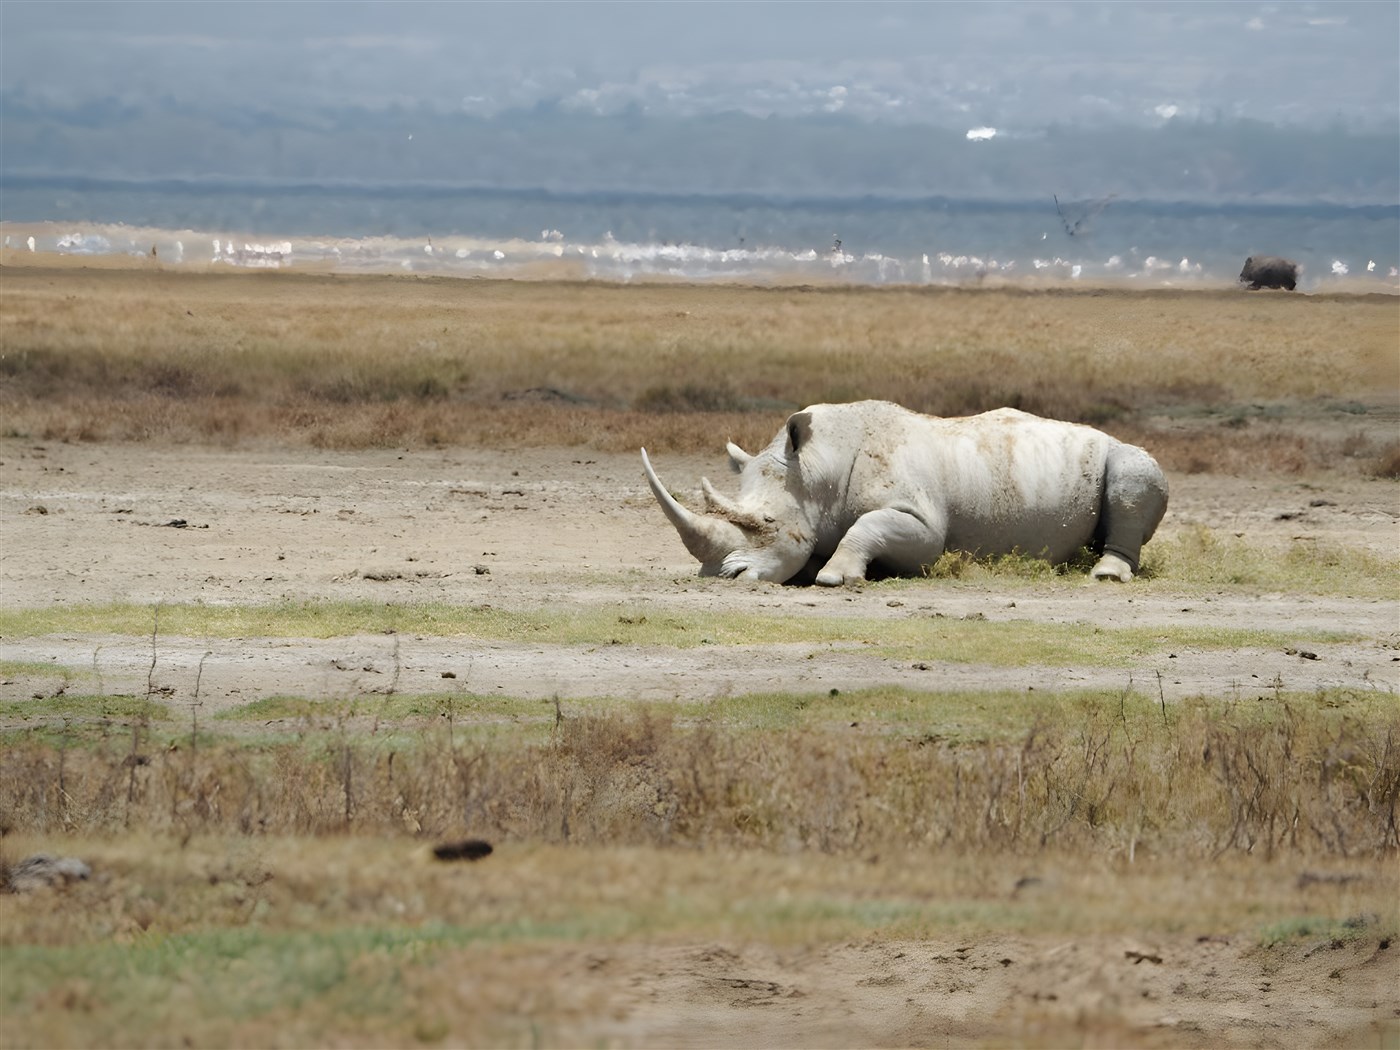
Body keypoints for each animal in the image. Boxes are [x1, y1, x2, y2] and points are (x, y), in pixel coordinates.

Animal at [642, 401, 1168, 585]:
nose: (722, 577)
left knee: (1133, 472)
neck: (815, 471)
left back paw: (1107, 575)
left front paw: (834, 578)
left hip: (1127, 455)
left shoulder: (921, 520)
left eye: (767, 525)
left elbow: (869, 526)